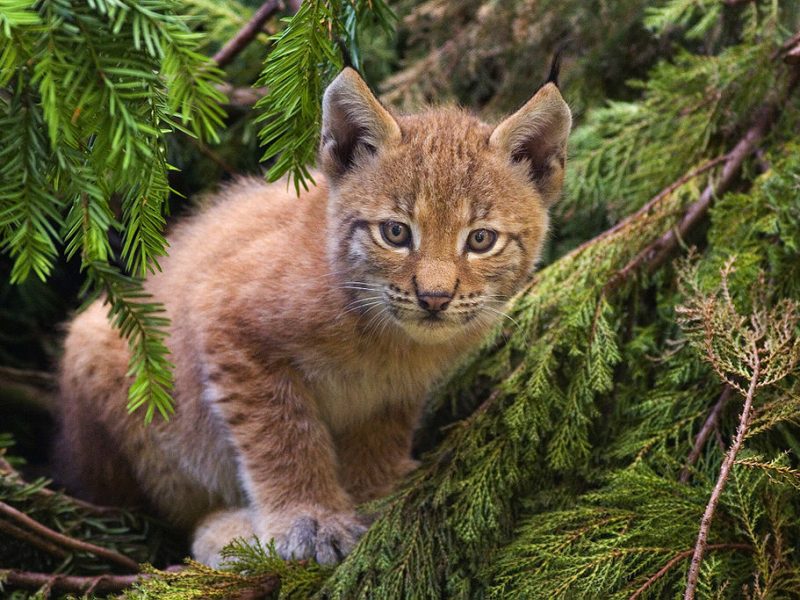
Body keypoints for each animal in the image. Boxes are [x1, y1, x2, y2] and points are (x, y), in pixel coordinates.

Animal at [56, 67, 568, 568]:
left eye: (481, 239)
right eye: (395, 233)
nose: (435, 298)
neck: (386, 334)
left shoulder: (393, 390)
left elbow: (380, 436)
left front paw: (373, 495)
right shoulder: (225, 316)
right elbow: (283, 435)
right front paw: (311, 520)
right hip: (110, 353)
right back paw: (229, 536)